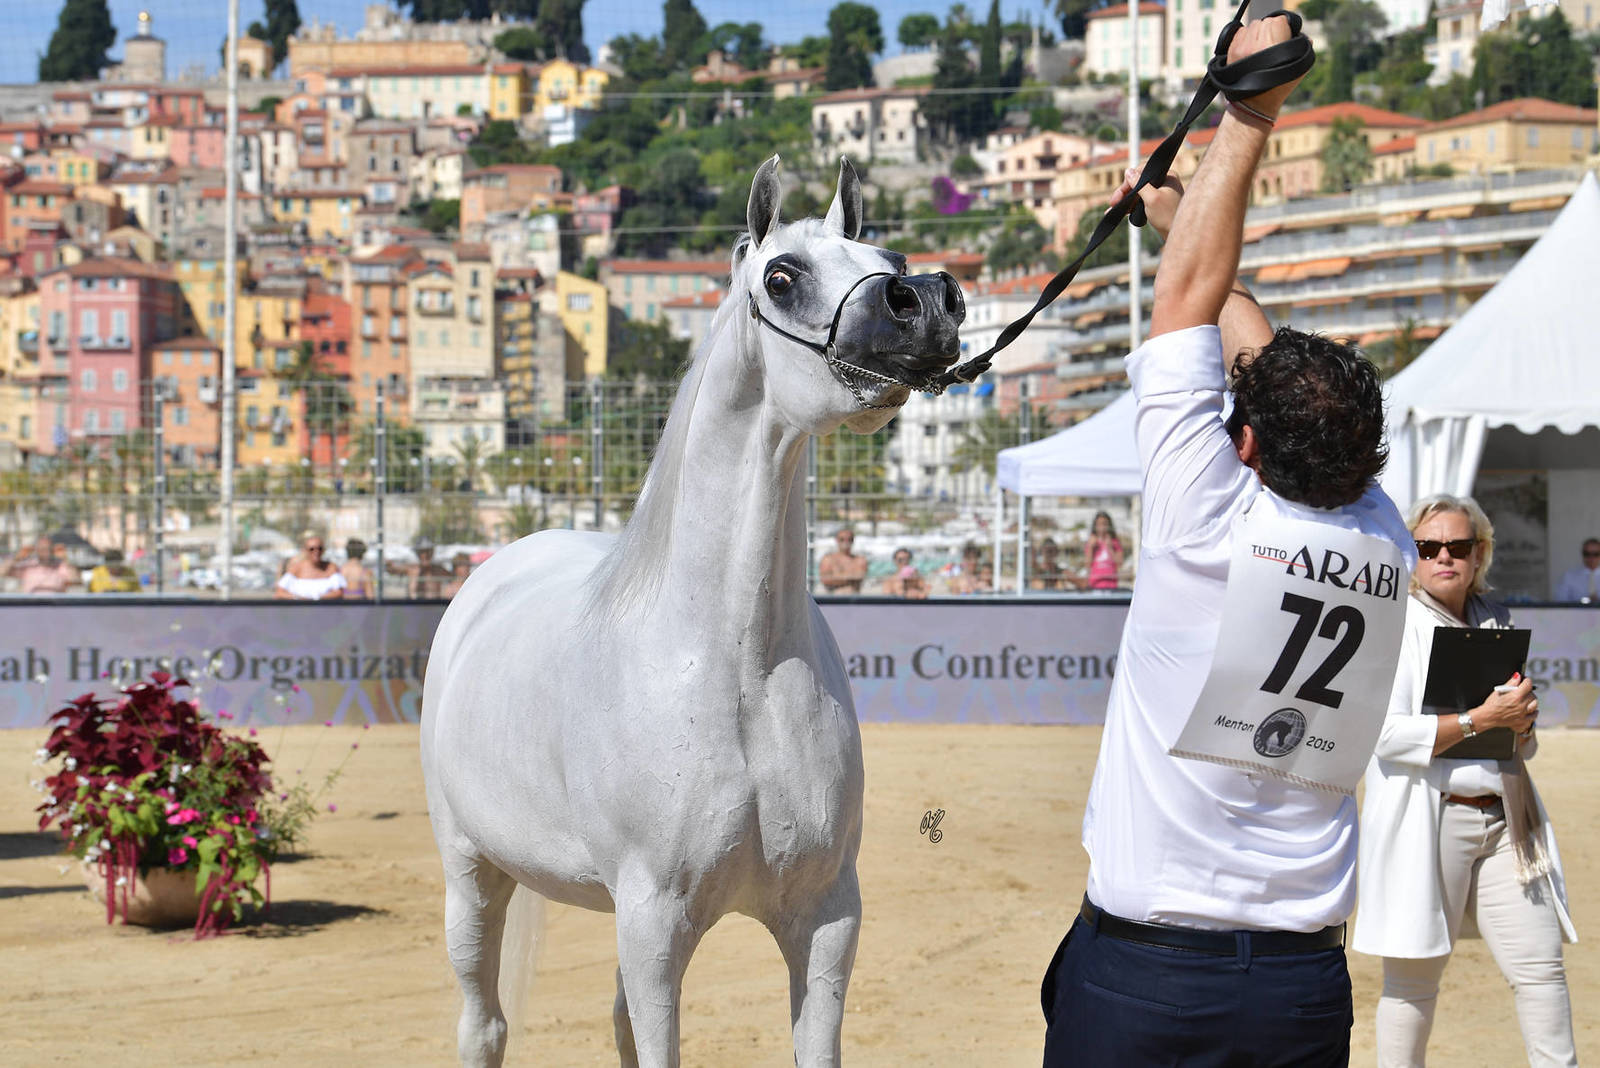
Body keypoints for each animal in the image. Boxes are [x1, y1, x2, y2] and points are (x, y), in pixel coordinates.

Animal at [420, 155, 966, 1068]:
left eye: (887, 254)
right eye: (781, 277)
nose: (926, 302)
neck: (738, 667)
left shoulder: (826, 919)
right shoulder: (654, 922)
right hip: (472, 875)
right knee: (482, 1022)